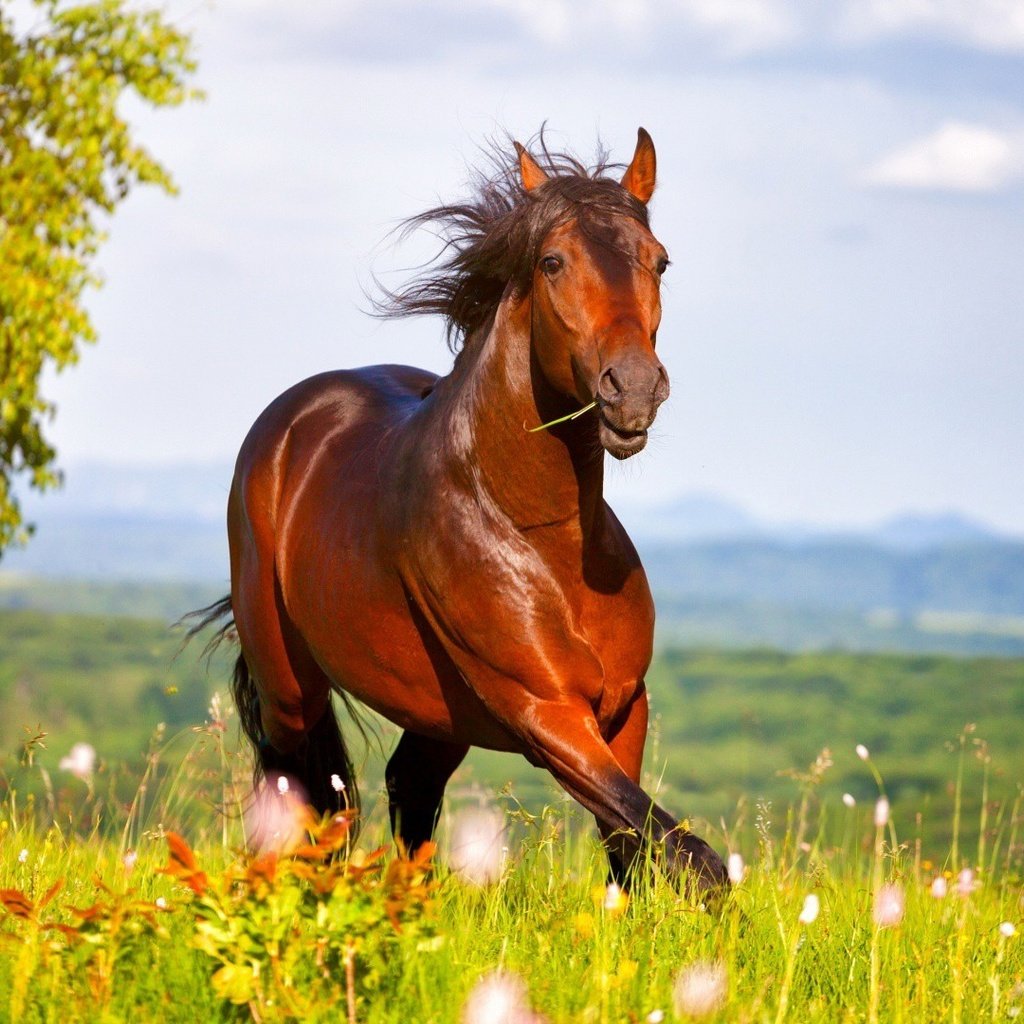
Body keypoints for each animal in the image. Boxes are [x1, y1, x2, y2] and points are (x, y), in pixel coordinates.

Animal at [197, 128, 729, 892]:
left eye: (659, 260)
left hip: (437, 713)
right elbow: (689, 853)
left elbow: (636, 845)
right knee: (303, 793)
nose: (632, 389)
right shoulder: (547, 714)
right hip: (289, 685)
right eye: (552, 262)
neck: (543, 538)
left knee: (406, 787)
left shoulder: (624, 710)